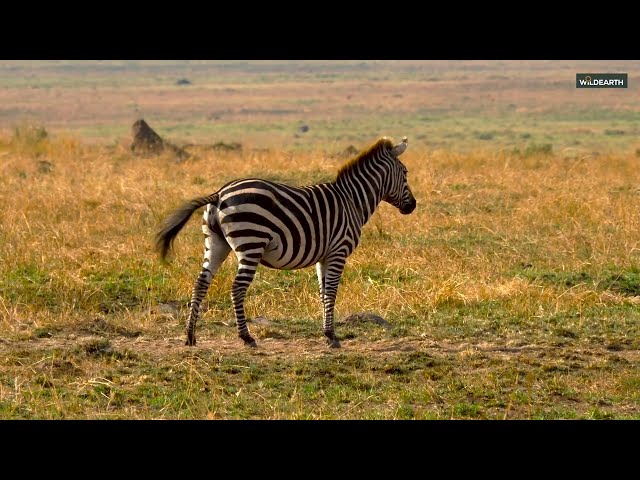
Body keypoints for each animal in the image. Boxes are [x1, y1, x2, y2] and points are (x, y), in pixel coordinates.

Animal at [155, 136, 416, 349]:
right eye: (405, 173)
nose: (412, 206)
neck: (352, 200)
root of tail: (219, 194)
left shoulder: (324, 255)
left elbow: (323, 291)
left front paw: (326, 333)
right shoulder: (338, 251)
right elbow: (332, 291)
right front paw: (332, 336)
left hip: (215, 242)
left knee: (201, 282)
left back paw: (190, 336)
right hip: (251, 243)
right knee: (237, 288)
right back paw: (246, 337)